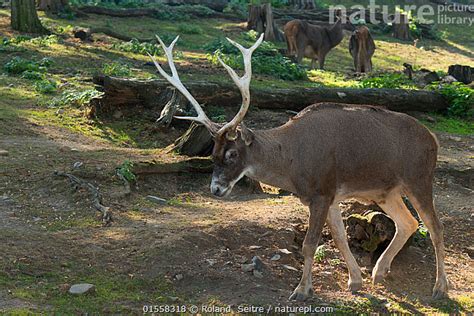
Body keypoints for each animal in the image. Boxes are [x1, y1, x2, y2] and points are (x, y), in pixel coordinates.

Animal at [150, 34, 450, 302]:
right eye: (212, 154)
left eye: (232, 153)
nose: (216, 189)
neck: (293, 164)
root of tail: (434, 139)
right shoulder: (329, 196)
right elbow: (339, 237)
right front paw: (355, 281)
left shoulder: (321, 192)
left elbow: (309, 244)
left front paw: (302, 290)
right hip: (386, 191)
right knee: (408, 222)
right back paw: (379, 272)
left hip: (419, 178)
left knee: (435, 227)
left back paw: (439, 289)